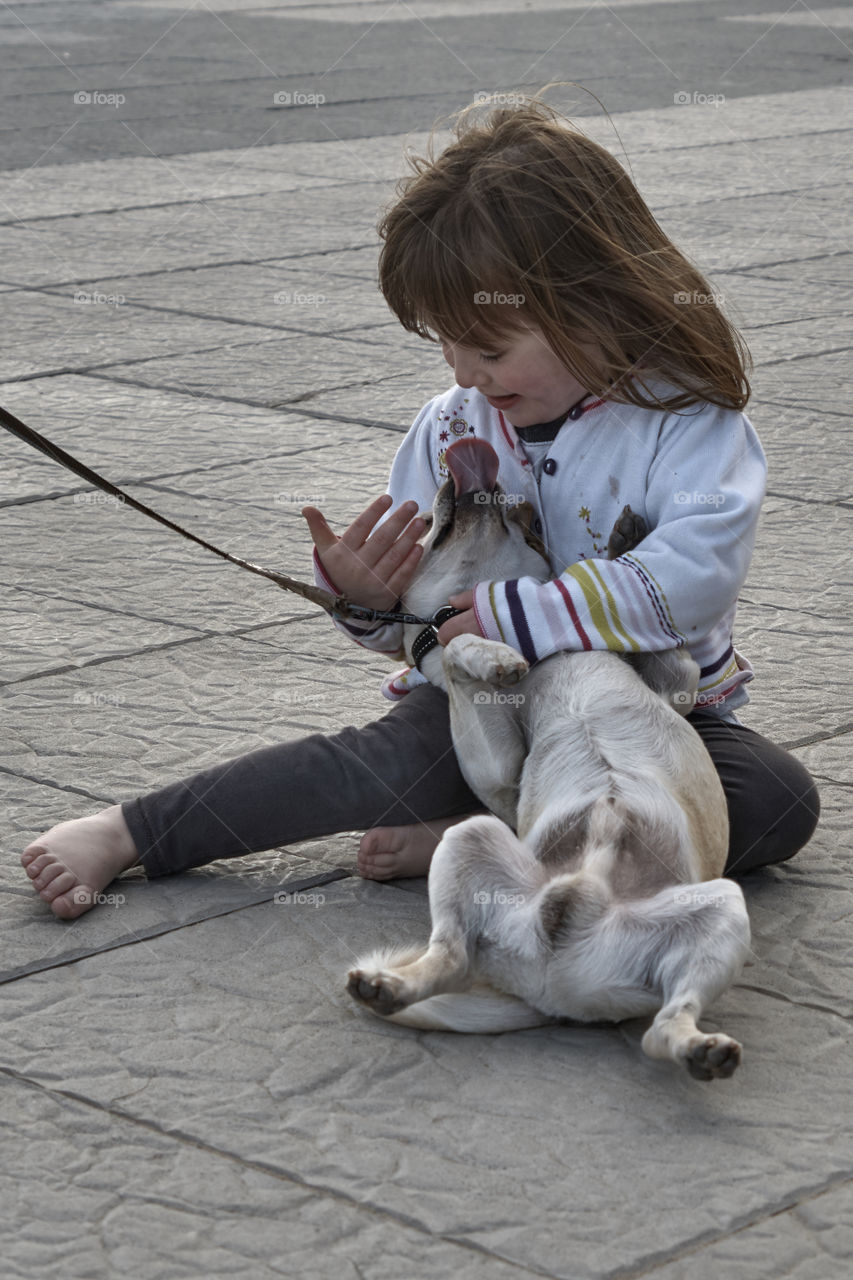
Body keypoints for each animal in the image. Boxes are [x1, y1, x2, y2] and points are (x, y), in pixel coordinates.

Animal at [343, 435, 742, 1075]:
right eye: (429, 523)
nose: (453, 481)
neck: (555, 655)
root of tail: (549, 985)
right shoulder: (498, 776)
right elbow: (454, 650)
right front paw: (494, 655)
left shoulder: (675, 689)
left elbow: (675, 653)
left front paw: (625, 544)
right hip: (474, 835)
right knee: (452, 955)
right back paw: (385, 987)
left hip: (718, 911)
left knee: (663, 1026)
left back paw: (701, 1049)